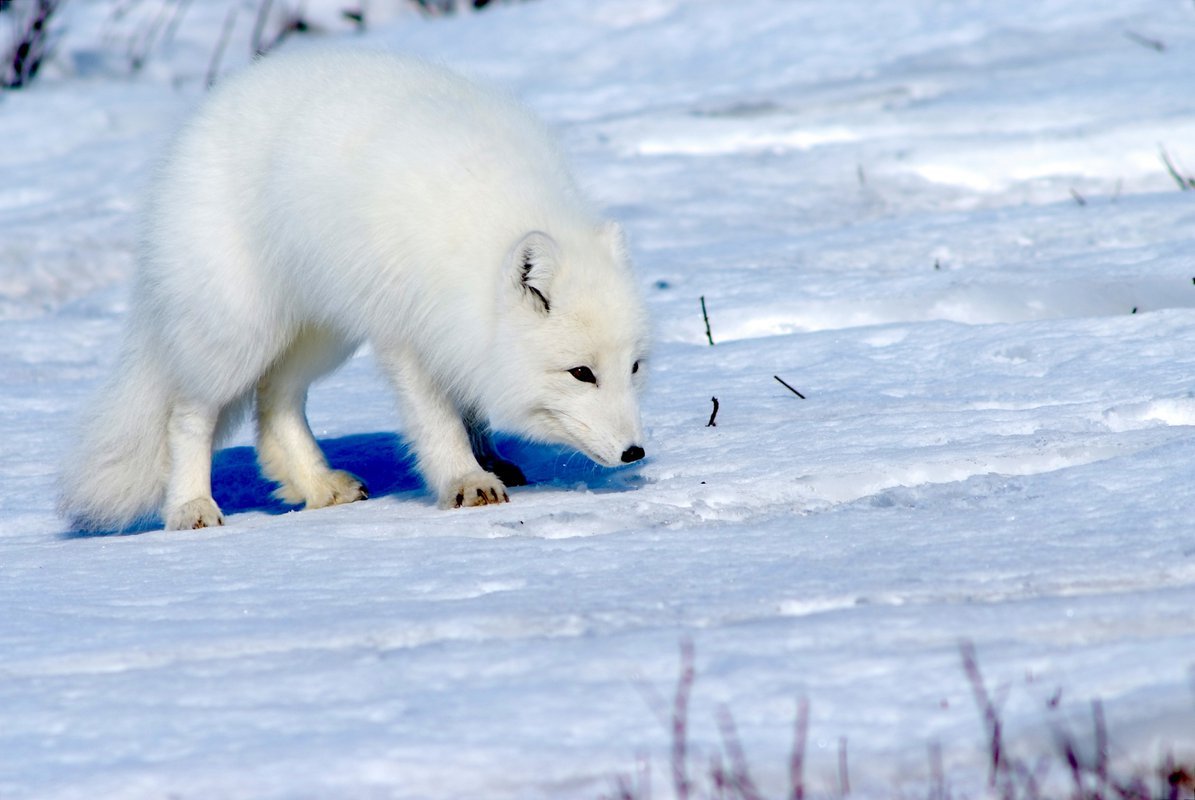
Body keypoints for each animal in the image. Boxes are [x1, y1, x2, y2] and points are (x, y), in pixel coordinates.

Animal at [60, 46, 650, 526]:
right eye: (581, 373)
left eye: (635, 368)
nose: (634, 454)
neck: (482, 229)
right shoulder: (408, 334)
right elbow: (437, 421)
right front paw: (466, 480)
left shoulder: (452, 329)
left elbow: (469, 400)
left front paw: (490, 458)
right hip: (238, 331)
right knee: (189, 414)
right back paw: (191, 508)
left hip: (323, 332)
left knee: (274, 403)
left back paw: (318, 486)